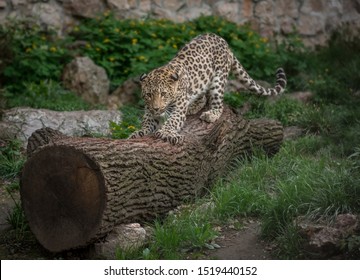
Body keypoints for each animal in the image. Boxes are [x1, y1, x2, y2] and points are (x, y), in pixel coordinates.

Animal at [129, 33, 286, 144]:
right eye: (148, 95)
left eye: (163, 94)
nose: (156, 108)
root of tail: (224, 41)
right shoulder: (149, 110)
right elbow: (147, 123)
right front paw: (138, 133)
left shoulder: (178, 109)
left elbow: (172, 121)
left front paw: (166, 132)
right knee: (202, 96)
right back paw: (193, 107)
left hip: (218, 79)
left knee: (218, 104)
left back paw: (211, 114)